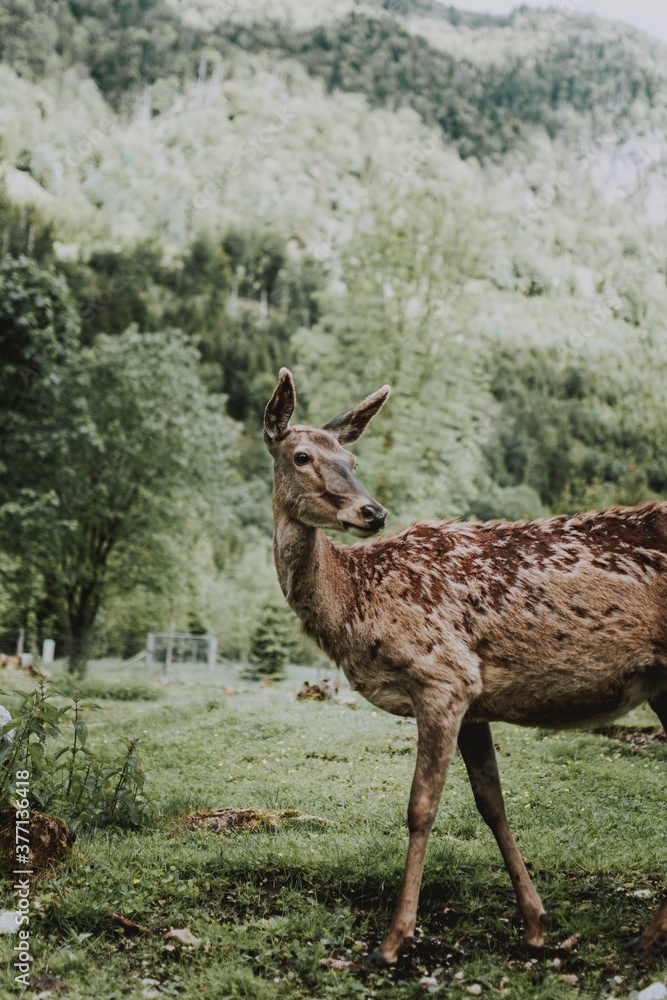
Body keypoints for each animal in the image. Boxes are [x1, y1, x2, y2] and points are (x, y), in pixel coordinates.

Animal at [264, 370, 667, 968]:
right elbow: (491, 802)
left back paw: (645, 935)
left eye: (352, 460)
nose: (373, 512)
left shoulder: (442, 674)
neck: (358, 603)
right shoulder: (476, 699)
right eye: (302, 455)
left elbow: (421, 806)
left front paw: (393, 940)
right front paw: (535, 924)